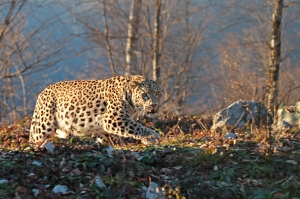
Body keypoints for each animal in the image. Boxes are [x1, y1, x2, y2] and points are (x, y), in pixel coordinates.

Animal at [28, 74, 162, 145]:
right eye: (145, 95)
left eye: (157, 93)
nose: (155, 105)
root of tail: (42, 93)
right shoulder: (113, 119)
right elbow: (137, 127)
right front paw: (153, 137)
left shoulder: (106, 127)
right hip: (44, 124)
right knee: (35, 138)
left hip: (62, 129)